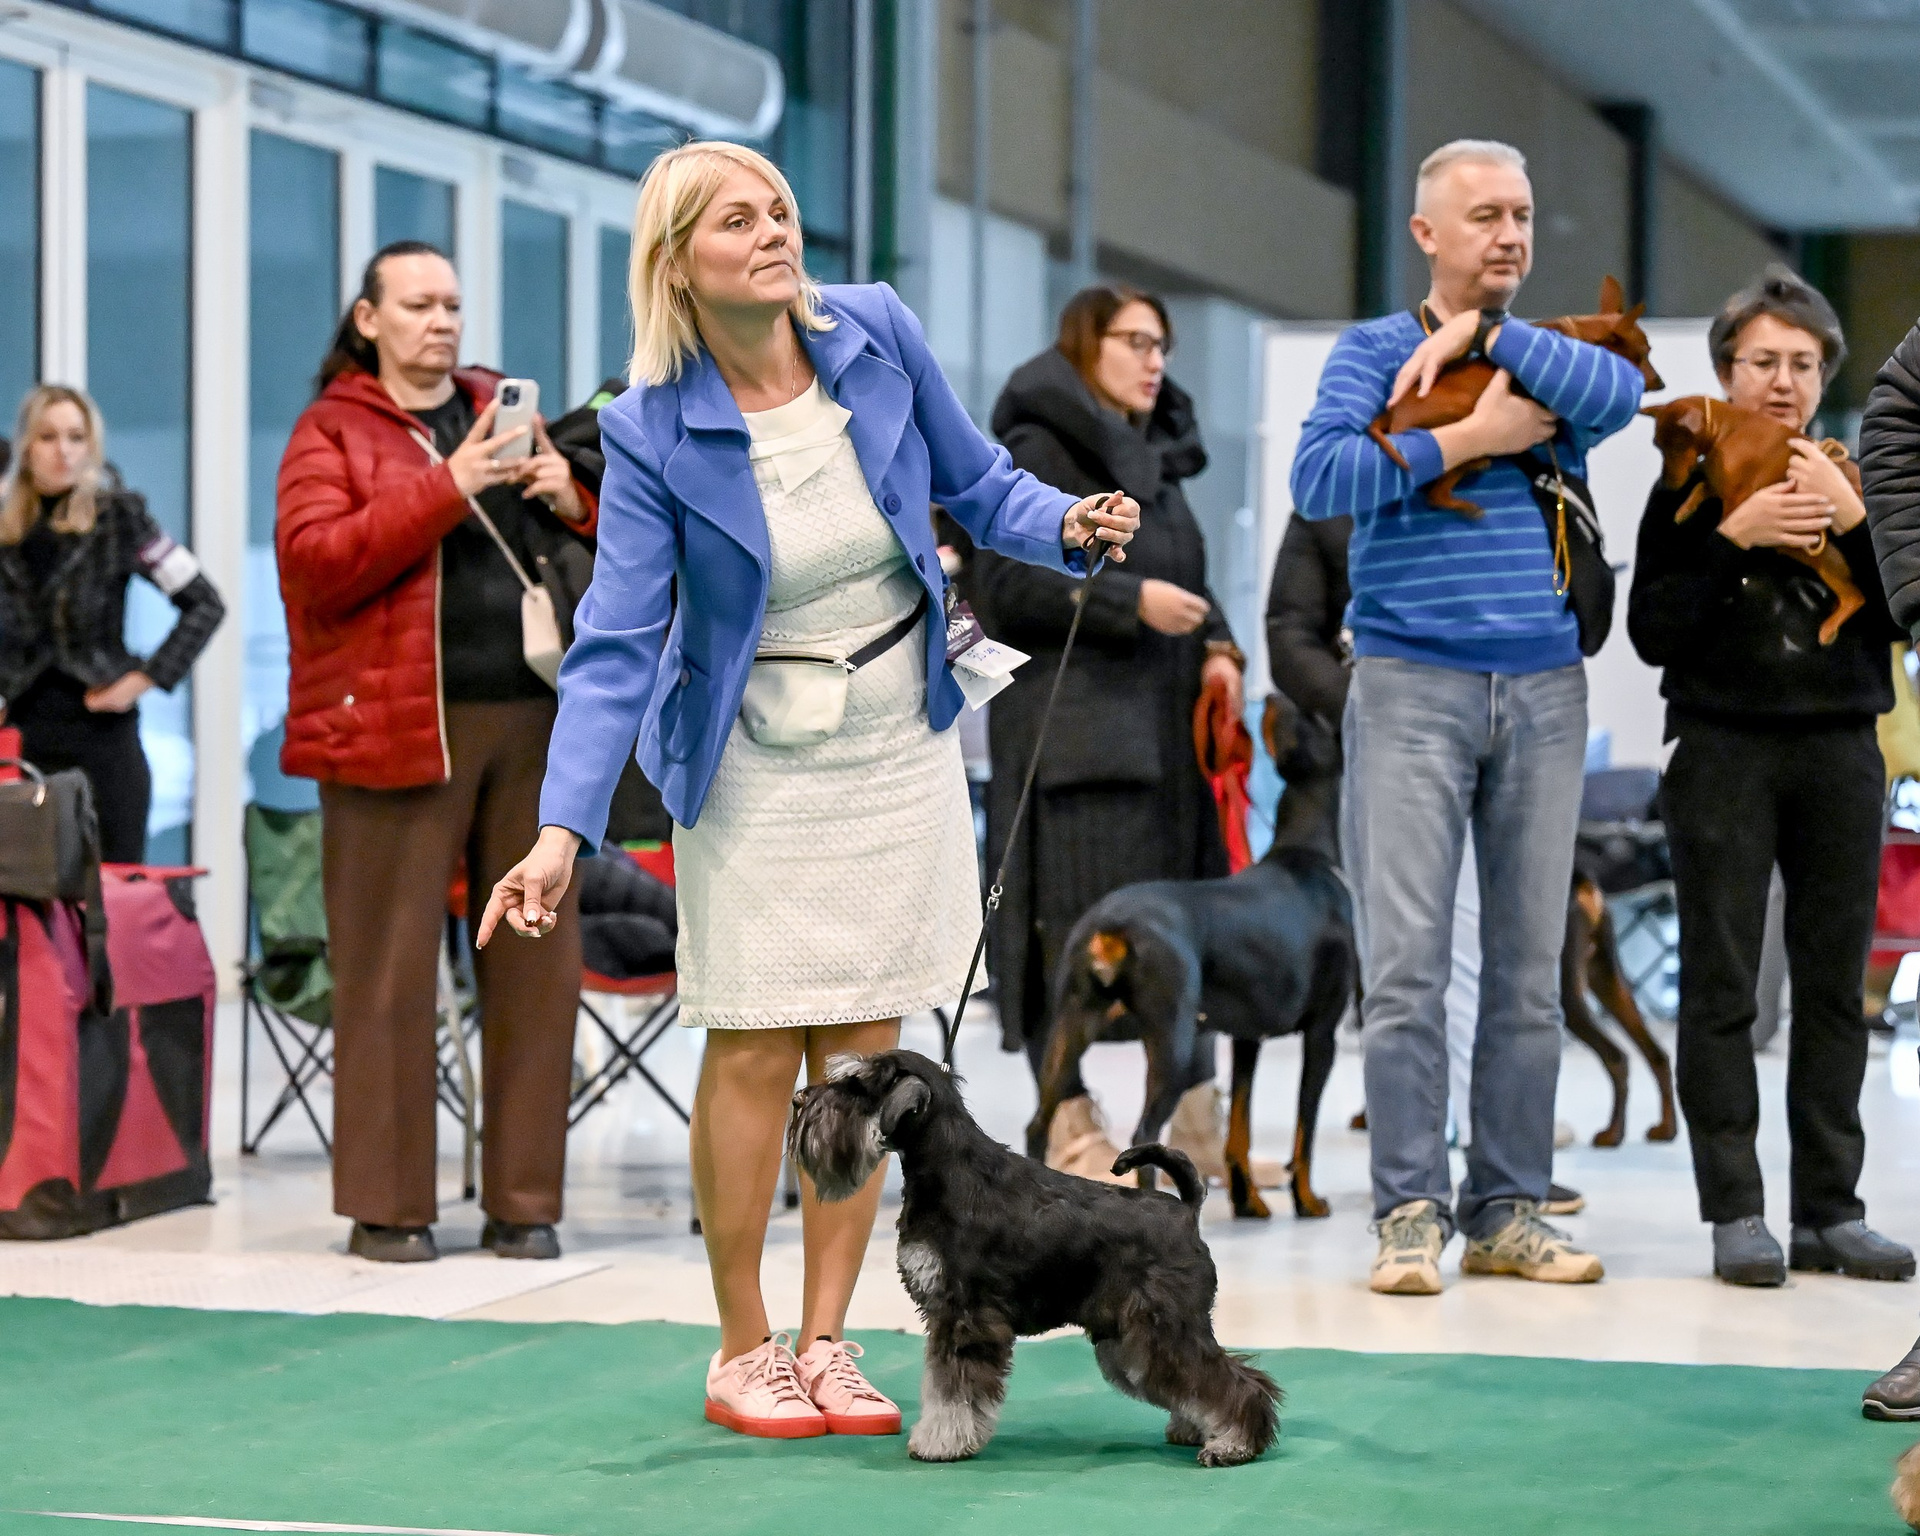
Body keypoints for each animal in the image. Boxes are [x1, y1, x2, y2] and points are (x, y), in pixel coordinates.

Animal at [788, 1049, 1281, 1467]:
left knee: (1235, 1382)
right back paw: (1198, 1430)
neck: (947, 1169)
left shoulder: (964, 1317)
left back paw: (1233, 1444)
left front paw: (940, 1443)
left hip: (1165, 1328)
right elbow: (941, 1385)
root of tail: (1186, 1210)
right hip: (1129, 1341)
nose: (798, 1100)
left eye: (856, 1085)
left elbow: (952, 1391)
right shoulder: (947, 1317)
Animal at [1027, 702, 1353, 1221]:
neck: (1305, 853)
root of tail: (1109, 925)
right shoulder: (1323, 1034)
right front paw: (1307, 1200)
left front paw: (1248, 1201)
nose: (1269, 699)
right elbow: (1305, 1130)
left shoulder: (1246, 1038)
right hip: (1171, 1039)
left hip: (1073, 1023)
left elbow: (1239, 1129)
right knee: (1143, 1135)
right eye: (1318, 718)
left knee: (1039, 1123)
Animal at [1367, 276, 1665, 519]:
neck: (1582, 337)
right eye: (1645, 353)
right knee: (1436, 493)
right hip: (1461, 420)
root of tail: (1391, 413)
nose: (1662, 383)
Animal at [1644, 393, 1864, 646]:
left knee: (1857, 597)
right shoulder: (1719, 486)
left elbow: (1724, 518)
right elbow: (1700, 487)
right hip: (1820, 556)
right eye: (1657, 445)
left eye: (1677, 446)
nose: (1665, 485)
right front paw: (1684, 510)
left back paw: (1829, 628)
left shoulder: (1736, 498)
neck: (1725, 431)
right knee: (1853, 594)